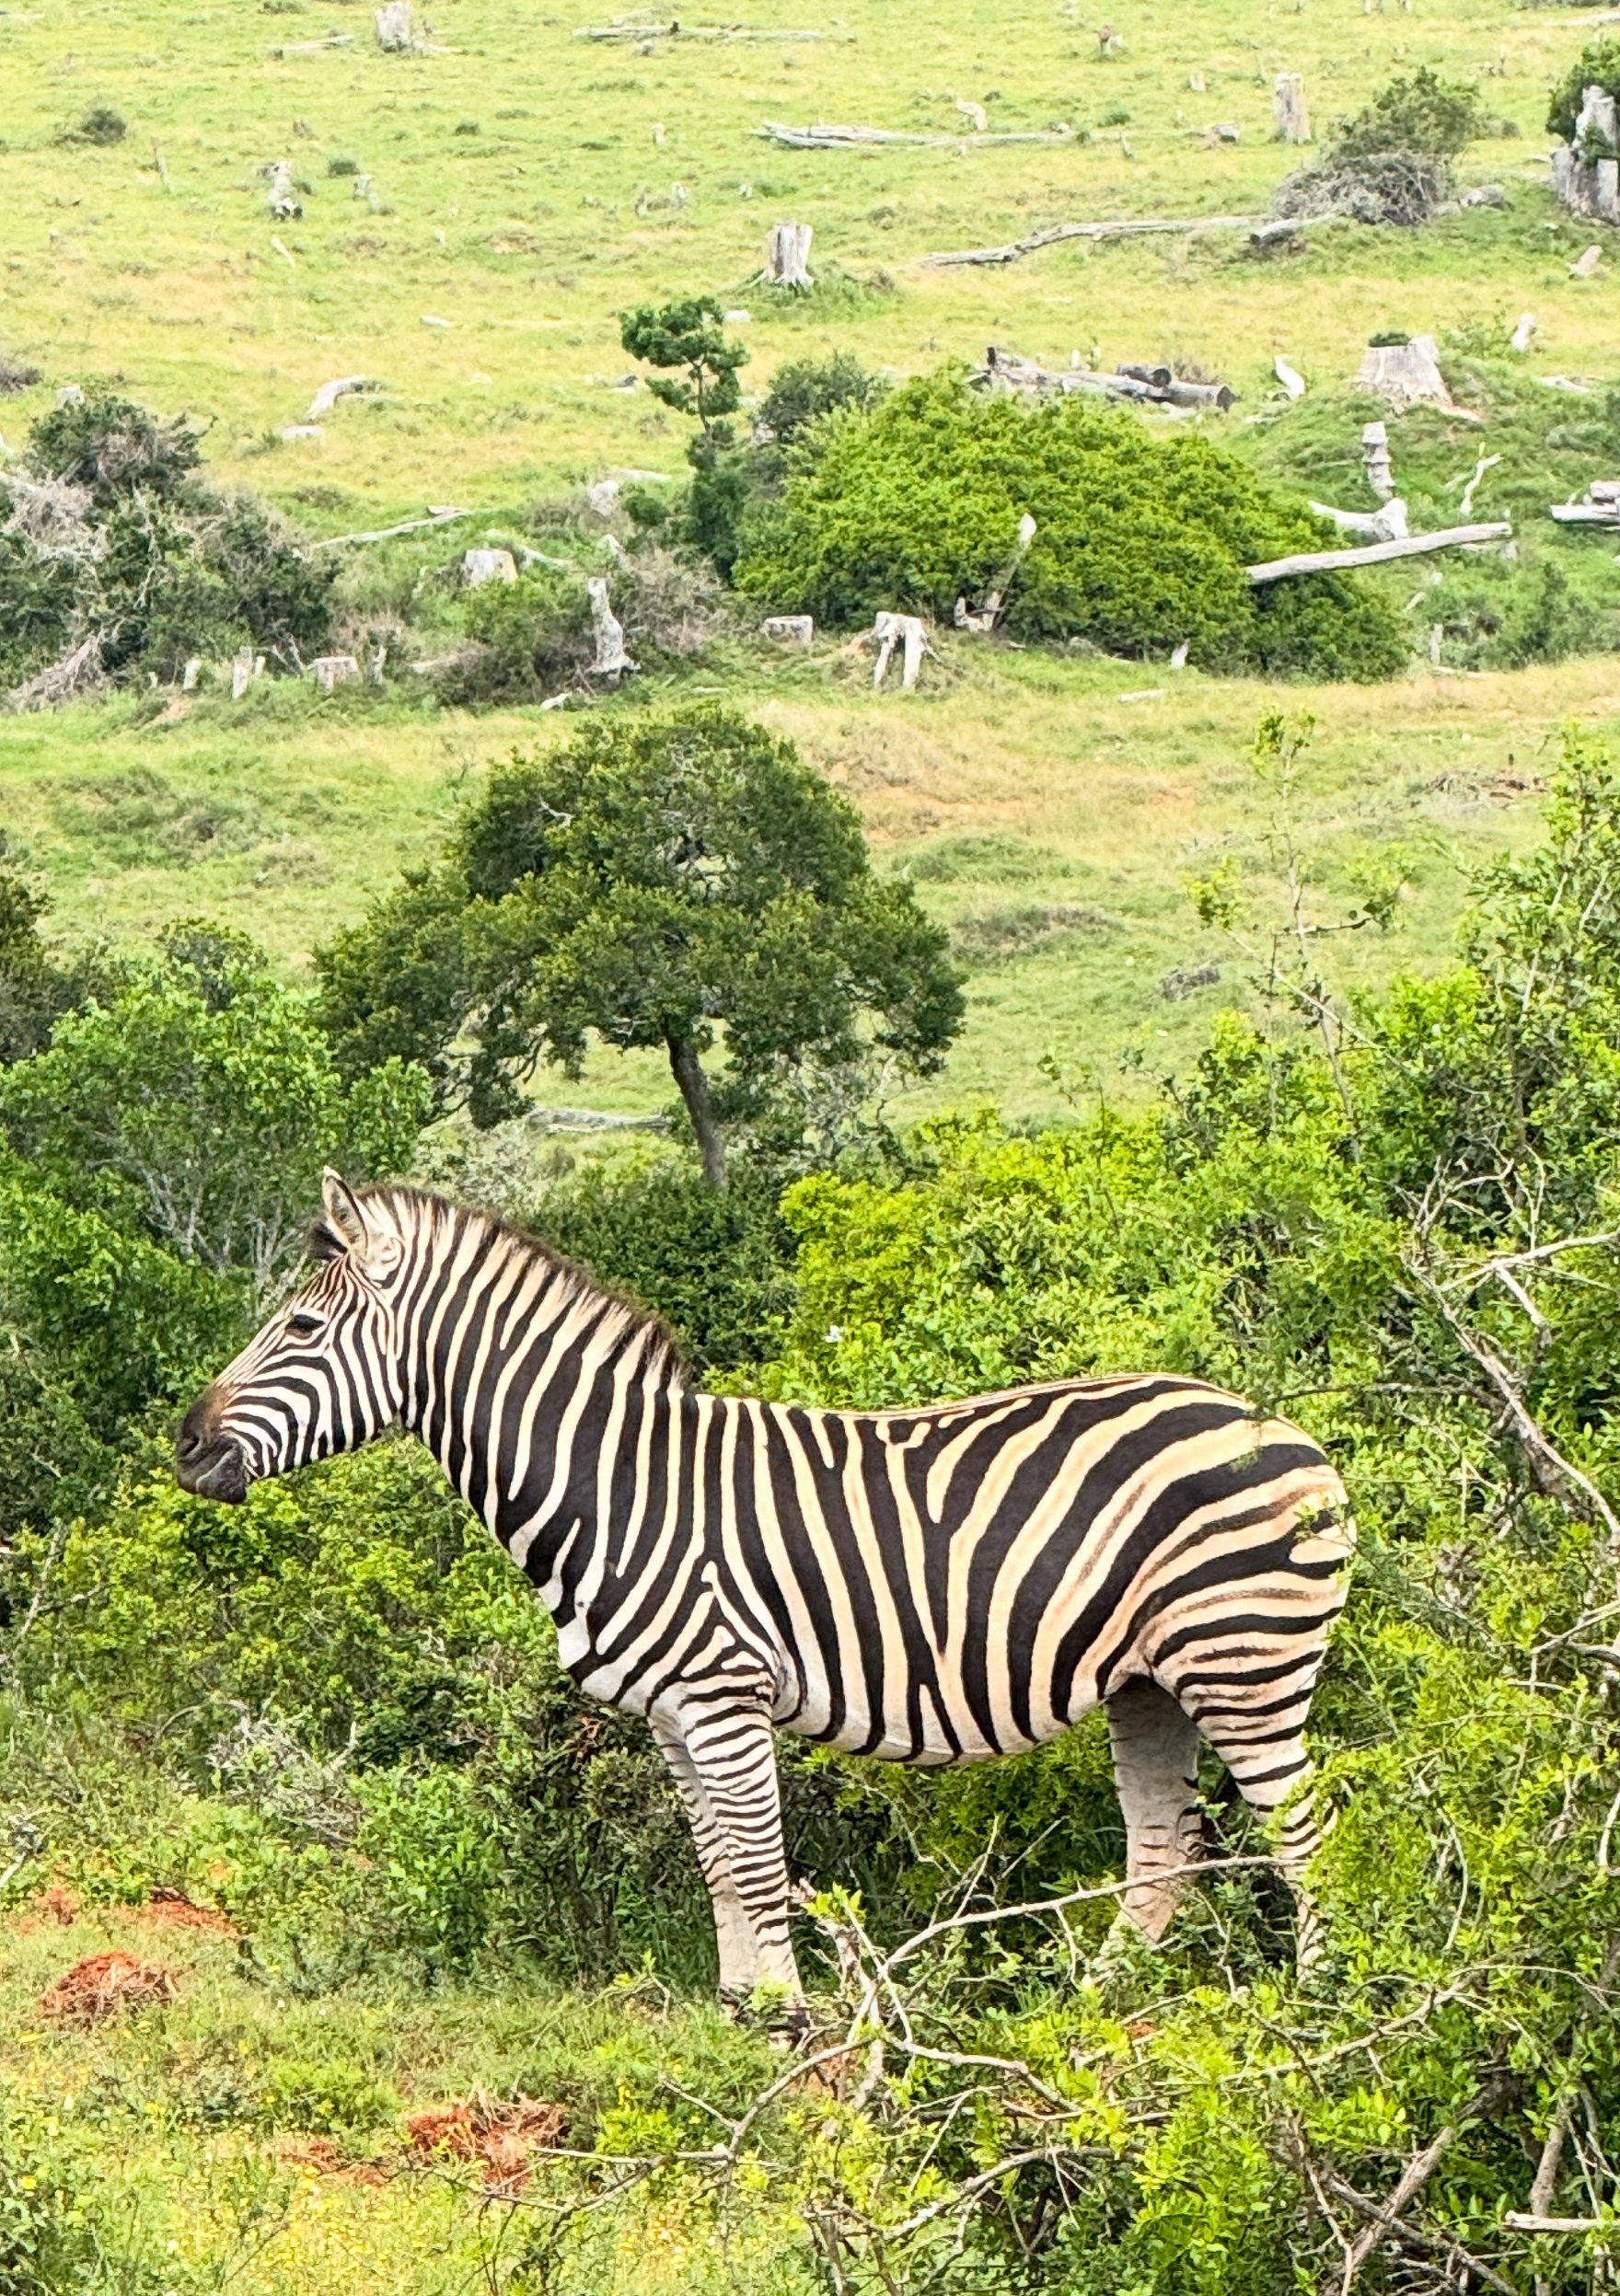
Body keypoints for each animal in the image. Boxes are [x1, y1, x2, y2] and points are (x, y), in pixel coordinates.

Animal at [175, 1172, 1355, 1999]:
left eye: (301, 1327)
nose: (184, 1444)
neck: (617, 1484)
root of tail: (1294, 1438)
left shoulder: (722, 1691)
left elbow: (752, 1865)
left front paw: (796, 2041)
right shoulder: (666, 1712)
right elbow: (713, 1867)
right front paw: (747, 2021)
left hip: (1241, 1659)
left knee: (1306, 1837)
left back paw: (1320, 2018)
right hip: (1149, 1682)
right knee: (1164, 1852)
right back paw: (1092, 2018)